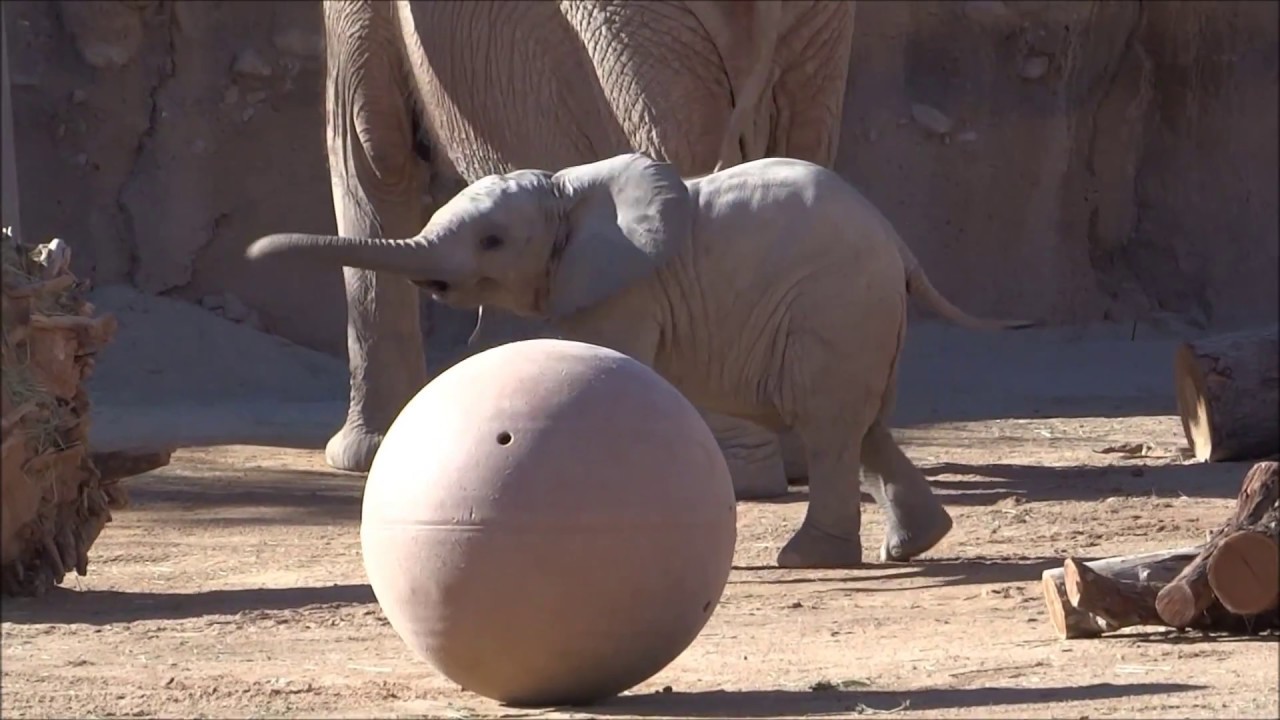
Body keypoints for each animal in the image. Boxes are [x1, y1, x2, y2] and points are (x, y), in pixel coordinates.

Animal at [246, 152, 1034, 568]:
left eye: (493, 242)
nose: (251, 253)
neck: (567, 192)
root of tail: (899, 243)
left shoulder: (625, 291)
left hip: (835, 304)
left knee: (828, 423)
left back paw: (808, 560)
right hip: (861, 314)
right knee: (861, 423)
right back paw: (911, 547)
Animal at [308, 0, 856, 497]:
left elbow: (373, 156)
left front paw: (364, 454)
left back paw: (736, 472)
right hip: (810, 36)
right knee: (800, 145)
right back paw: (792, 460)